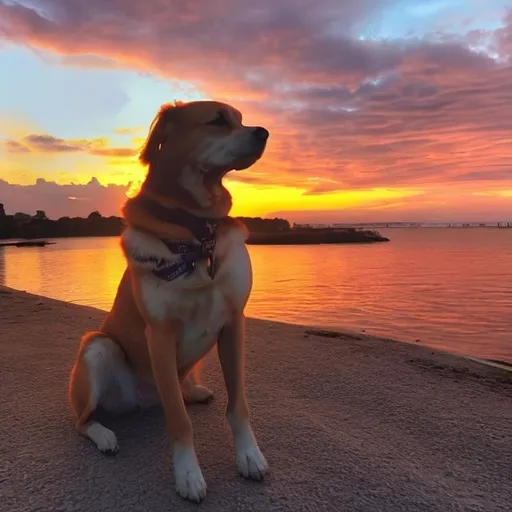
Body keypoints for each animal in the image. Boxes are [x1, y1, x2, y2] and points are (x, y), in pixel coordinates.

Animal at [69, 101, 270, 504]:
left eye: (240, 118)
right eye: (217, 120)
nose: (264, 132)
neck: (197, 234)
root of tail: (144, 400)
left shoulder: (233, 323)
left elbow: (238, 404)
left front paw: (249, 456)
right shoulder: (160, 335)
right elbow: (179, 422)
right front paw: (188, 475)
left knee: (178, 390)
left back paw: (193, 390)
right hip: (97, 347)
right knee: (83, 420)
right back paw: (104, 435)